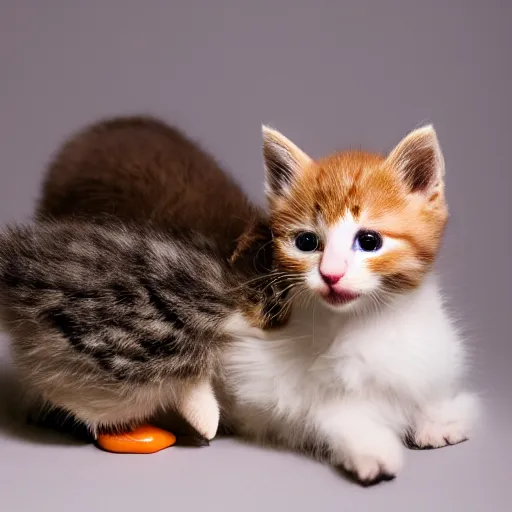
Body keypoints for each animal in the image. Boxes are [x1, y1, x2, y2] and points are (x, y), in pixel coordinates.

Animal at [217, 123, 480, 484]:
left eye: (369, 241)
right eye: (306, 242)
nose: (331, 274)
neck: (372, 321)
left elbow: (427, 387)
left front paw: (439, 418)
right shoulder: (278, 384)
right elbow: (336, 412)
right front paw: (373, 449)